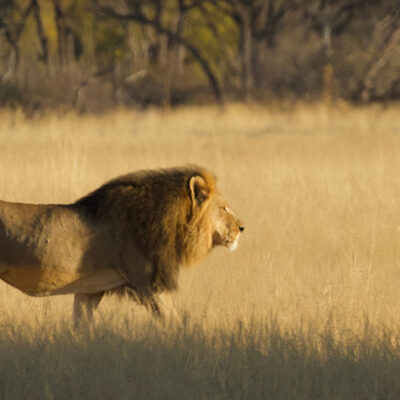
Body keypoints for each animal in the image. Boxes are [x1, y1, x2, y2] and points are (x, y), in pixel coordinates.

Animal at [0, 166, 244, 324]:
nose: (242, 227)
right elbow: (173, 322)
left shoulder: (90, 290)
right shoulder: (149, 285)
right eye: (223, 208)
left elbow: (81, 326)